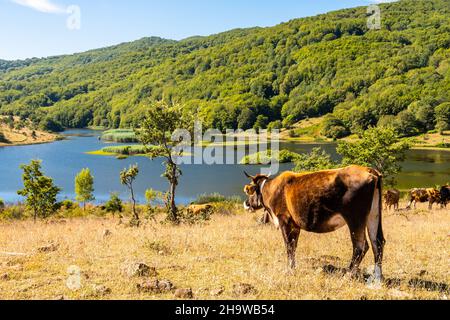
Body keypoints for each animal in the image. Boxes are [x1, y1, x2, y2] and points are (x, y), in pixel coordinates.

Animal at [244, 166, 384, 284]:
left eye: (250, 192)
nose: (246, 203)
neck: (272, 189)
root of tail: (369, 170)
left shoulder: (284, 220)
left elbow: (288, 246)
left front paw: (289, 270)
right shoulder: (295, 225)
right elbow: (293, 246)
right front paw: (293, 268)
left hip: (355, 218)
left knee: (360, 246)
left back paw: (348, 275)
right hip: (374, 214)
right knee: (377, 242)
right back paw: (377, 278)